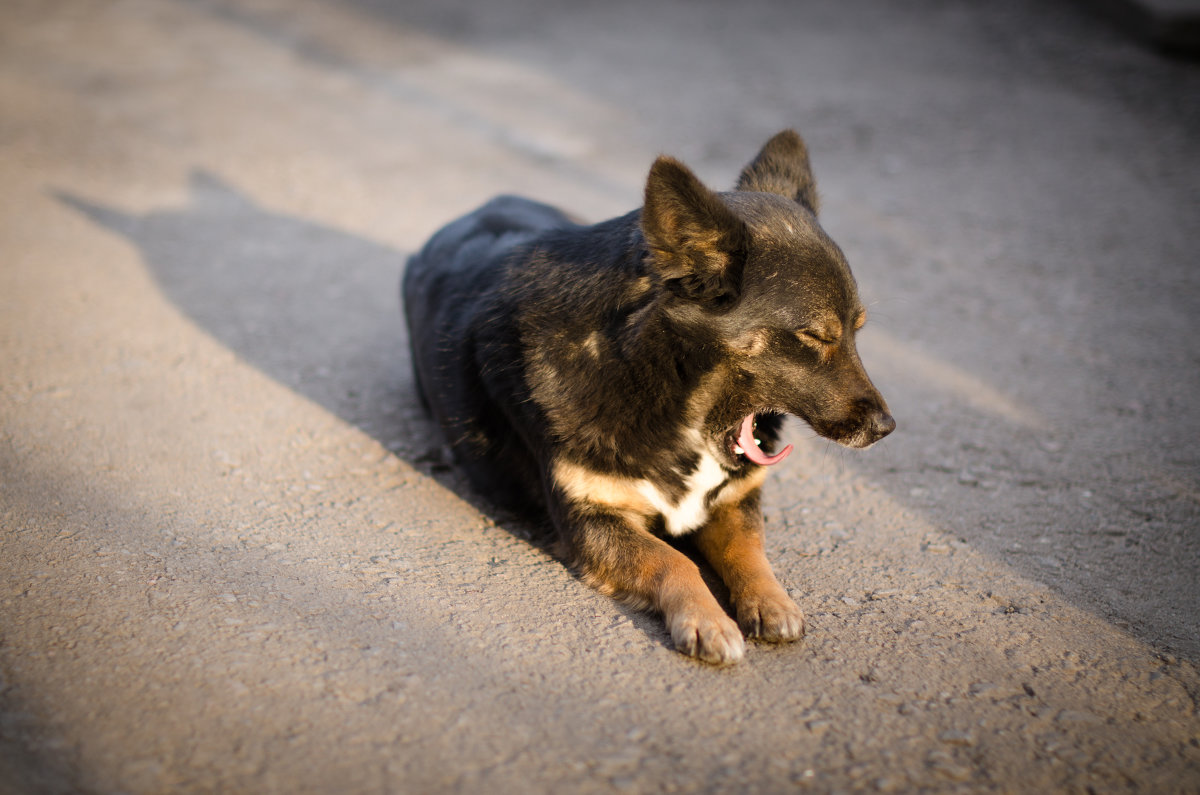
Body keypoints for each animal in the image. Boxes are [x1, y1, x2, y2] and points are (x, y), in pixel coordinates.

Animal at [403, 132, 892, 667]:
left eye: (857, 330)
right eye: (815, 336)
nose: (885, 428)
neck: (661, 379)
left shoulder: (734, 500)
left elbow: (749, 551)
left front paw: (770, 600)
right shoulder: (594, 521)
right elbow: (672, 559)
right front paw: (707, 620)